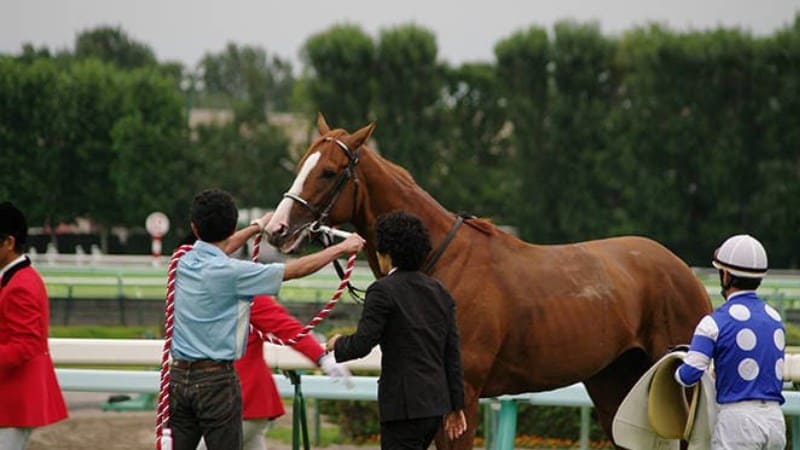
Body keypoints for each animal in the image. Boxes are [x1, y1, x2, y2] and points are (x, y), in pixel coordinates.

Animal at [268, 115, 712, 446]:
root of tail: (683, 270)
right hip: (614, 384)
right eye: (300, 166)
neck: (436, 258)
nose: (276, 229)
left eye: (328, 172)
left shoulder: (463, 397)